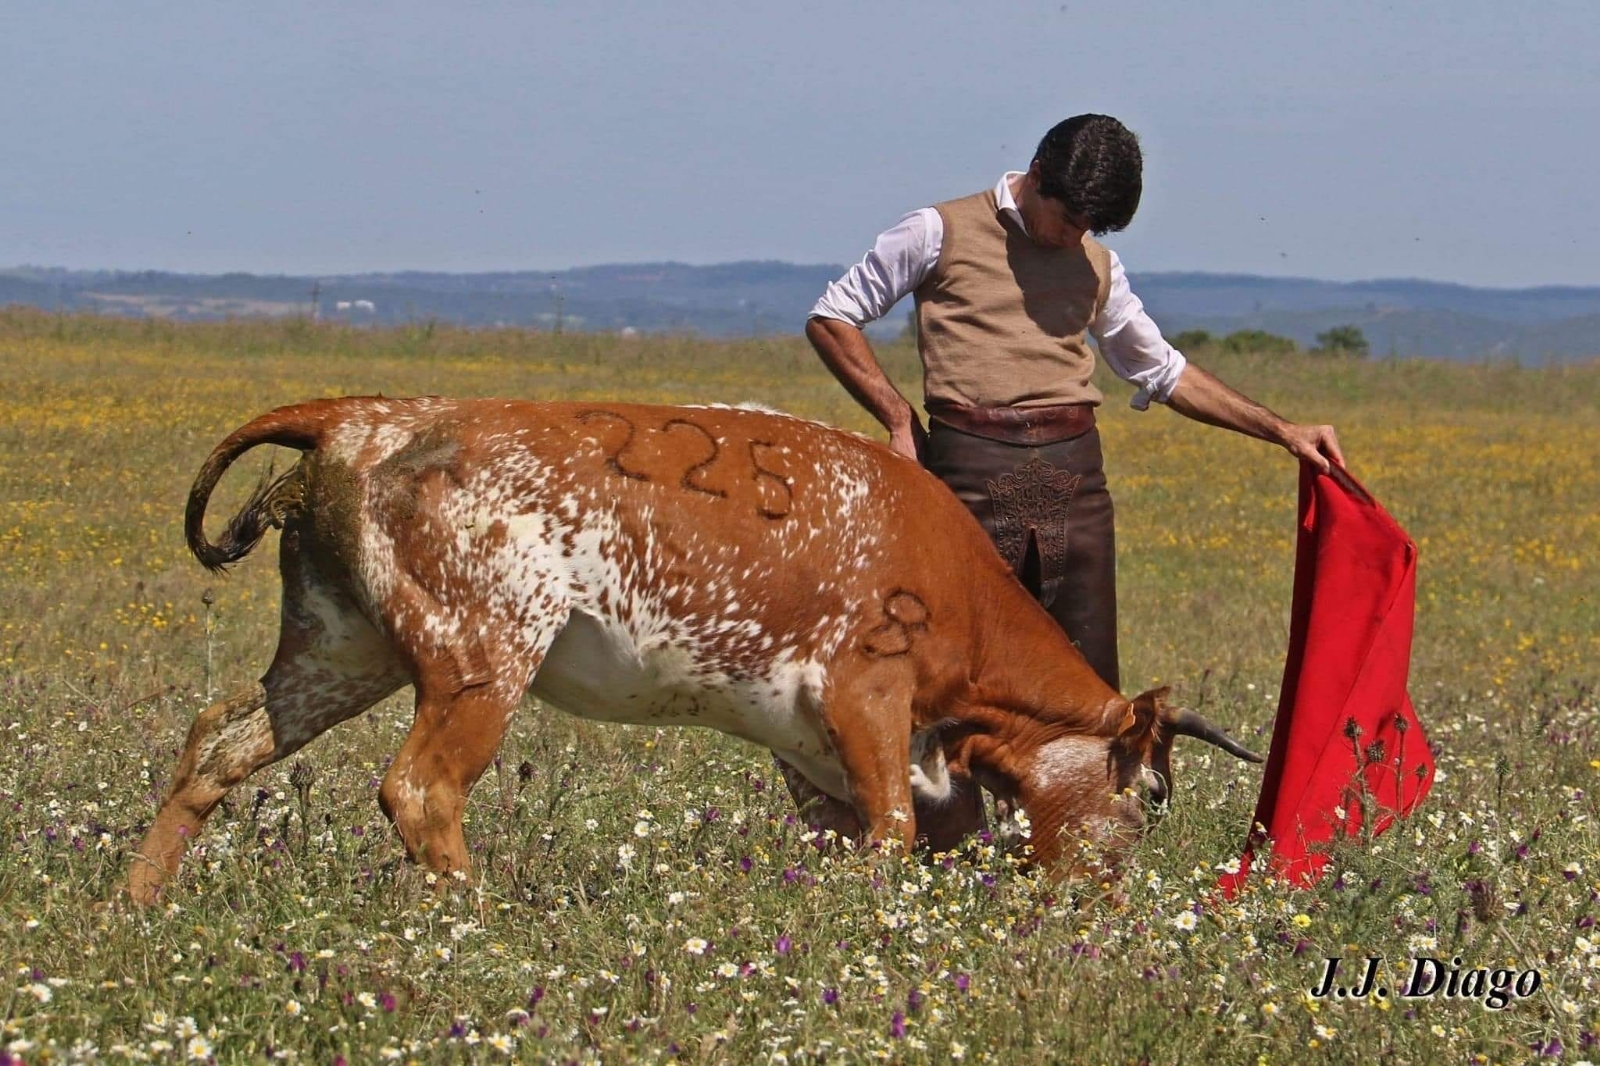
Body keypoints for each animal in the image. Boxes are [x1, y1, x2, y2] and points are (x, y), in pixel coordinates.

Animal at [124, 393, 1254, 902]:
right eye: (1151, 795)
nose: (1102, 903)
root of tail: (359, 415)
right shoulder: (866, 692)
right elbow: (893, 827)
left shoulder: (808, 746)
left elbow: (852, 832)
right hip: (481, 660)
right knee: (421, 788)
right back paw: (476, 916)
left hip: (338, 650)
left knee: (220, 742)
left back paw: (140, 902)